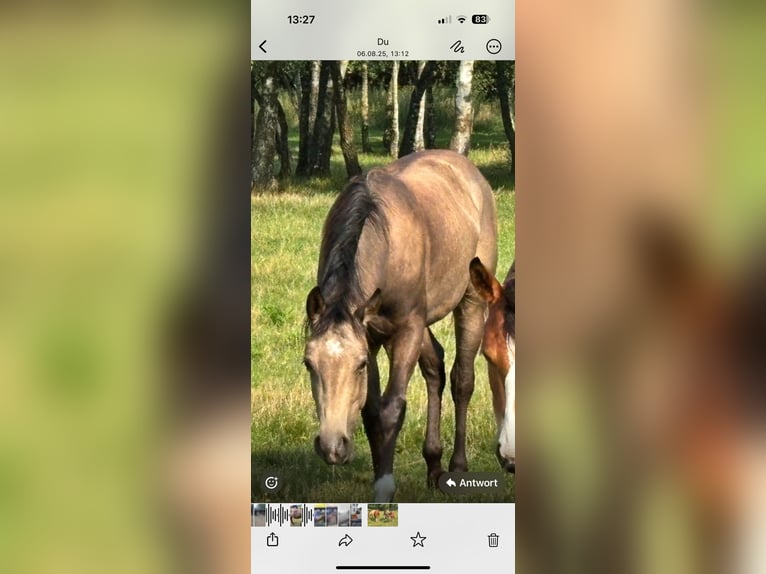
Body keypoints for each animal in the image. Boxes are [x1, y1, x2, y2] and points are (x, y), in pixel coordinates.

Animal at [304, 149, 498, 502]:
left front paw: (385, 487)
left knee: (462, 380)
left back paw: (457, 468)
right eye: (309, 363)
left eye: (359, 365)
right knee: (435, 367)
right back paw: (433, 465)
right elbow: (371, 411)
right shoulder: (370, 334)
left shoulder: (406, 329)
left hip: (470, 302)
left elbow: (393, 407)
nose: (332, 447)